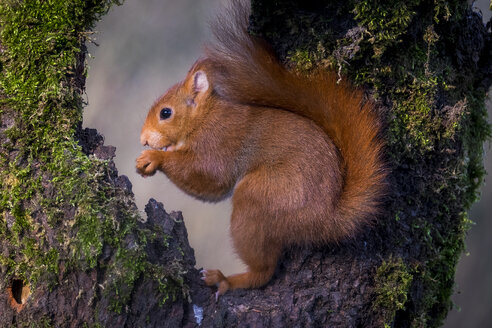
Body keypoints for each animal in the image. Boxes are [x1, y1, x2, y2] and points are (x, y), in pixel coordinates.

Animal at [136, 2, 386, 298]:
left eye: (166, 113)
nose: (143, 140)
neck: (206, 117)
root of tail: (326, 219)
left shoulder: (220, 142)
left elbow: (209, 178)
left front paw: (154, 157)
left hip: (260, 200)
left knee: (264, 271)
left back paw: (226, 280)